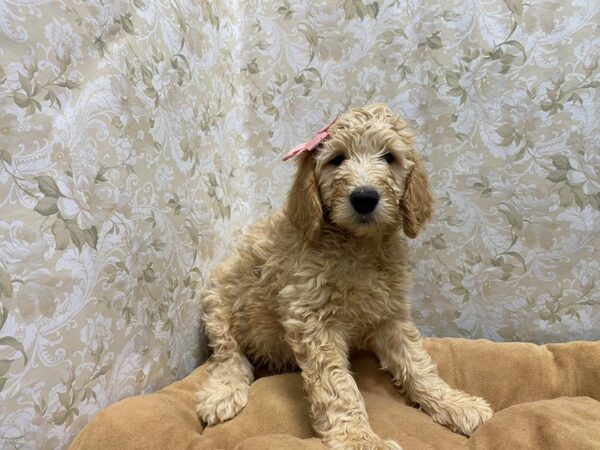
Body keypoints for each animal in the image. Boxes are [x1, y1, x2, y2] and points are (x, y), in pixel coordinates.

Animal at [197, 103, 492, 448]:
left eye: (389, 157)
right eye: (337, 159)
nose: (364, 197)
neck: (358, 245)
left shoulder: (390, 315)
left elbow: (417, 363)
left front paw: (455, 403)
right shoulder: (312, 319)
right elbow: (337, 386)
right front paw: (360, 439)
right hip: (218, 303)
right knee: (227, 355)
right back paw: (223, 393)